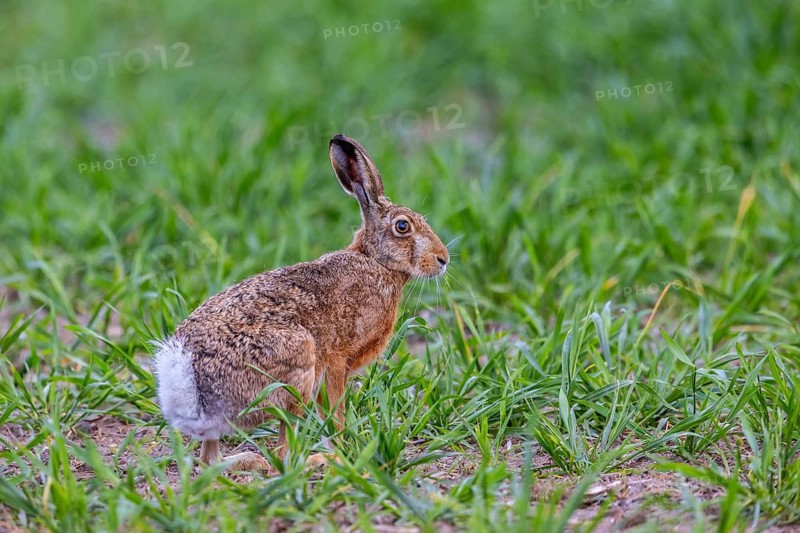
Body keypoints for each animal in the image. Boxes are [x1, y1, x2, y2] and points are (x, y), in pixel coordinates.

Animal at [153, 134, 450, 472]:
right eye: (403, 227)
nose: (443, 259)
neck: (377, 262)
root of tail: (184, 375)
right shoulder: (336, 360)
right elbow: (334, 412)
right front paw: (343, 451)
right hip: (296, 368)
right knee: (281, 455)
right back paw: (316, 460)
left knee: (210, 459)